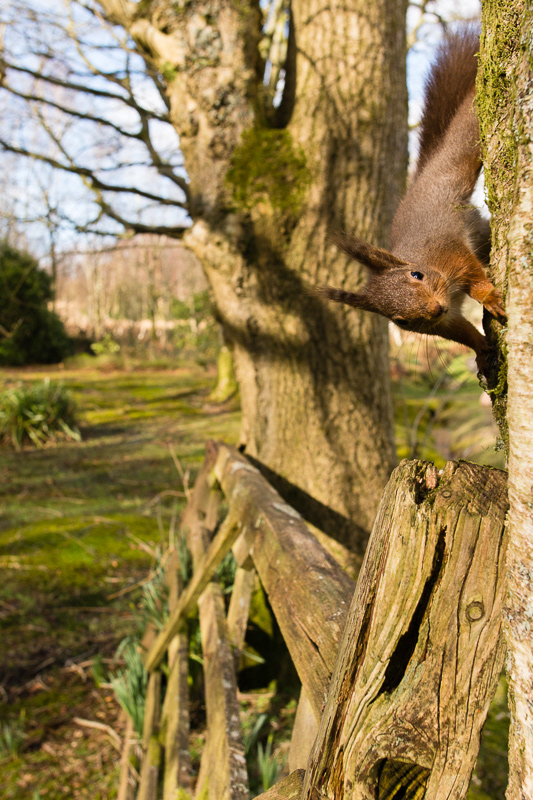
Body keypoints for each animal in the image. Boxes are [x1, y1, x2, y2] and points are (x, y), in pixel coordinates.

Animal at [317, 29, 506, 374]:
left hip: (459, 152)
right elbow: (463, 331)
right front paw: (482, 349)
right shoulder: (444, 322)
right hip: (481, 231)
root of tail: (420, 176)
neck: (428, 263)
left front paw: (489, 297)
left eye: (417, 275)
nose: (434, 308)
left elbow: (474, 275)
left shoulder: (451, 252)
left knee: (466, 127)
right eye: (401, 320)